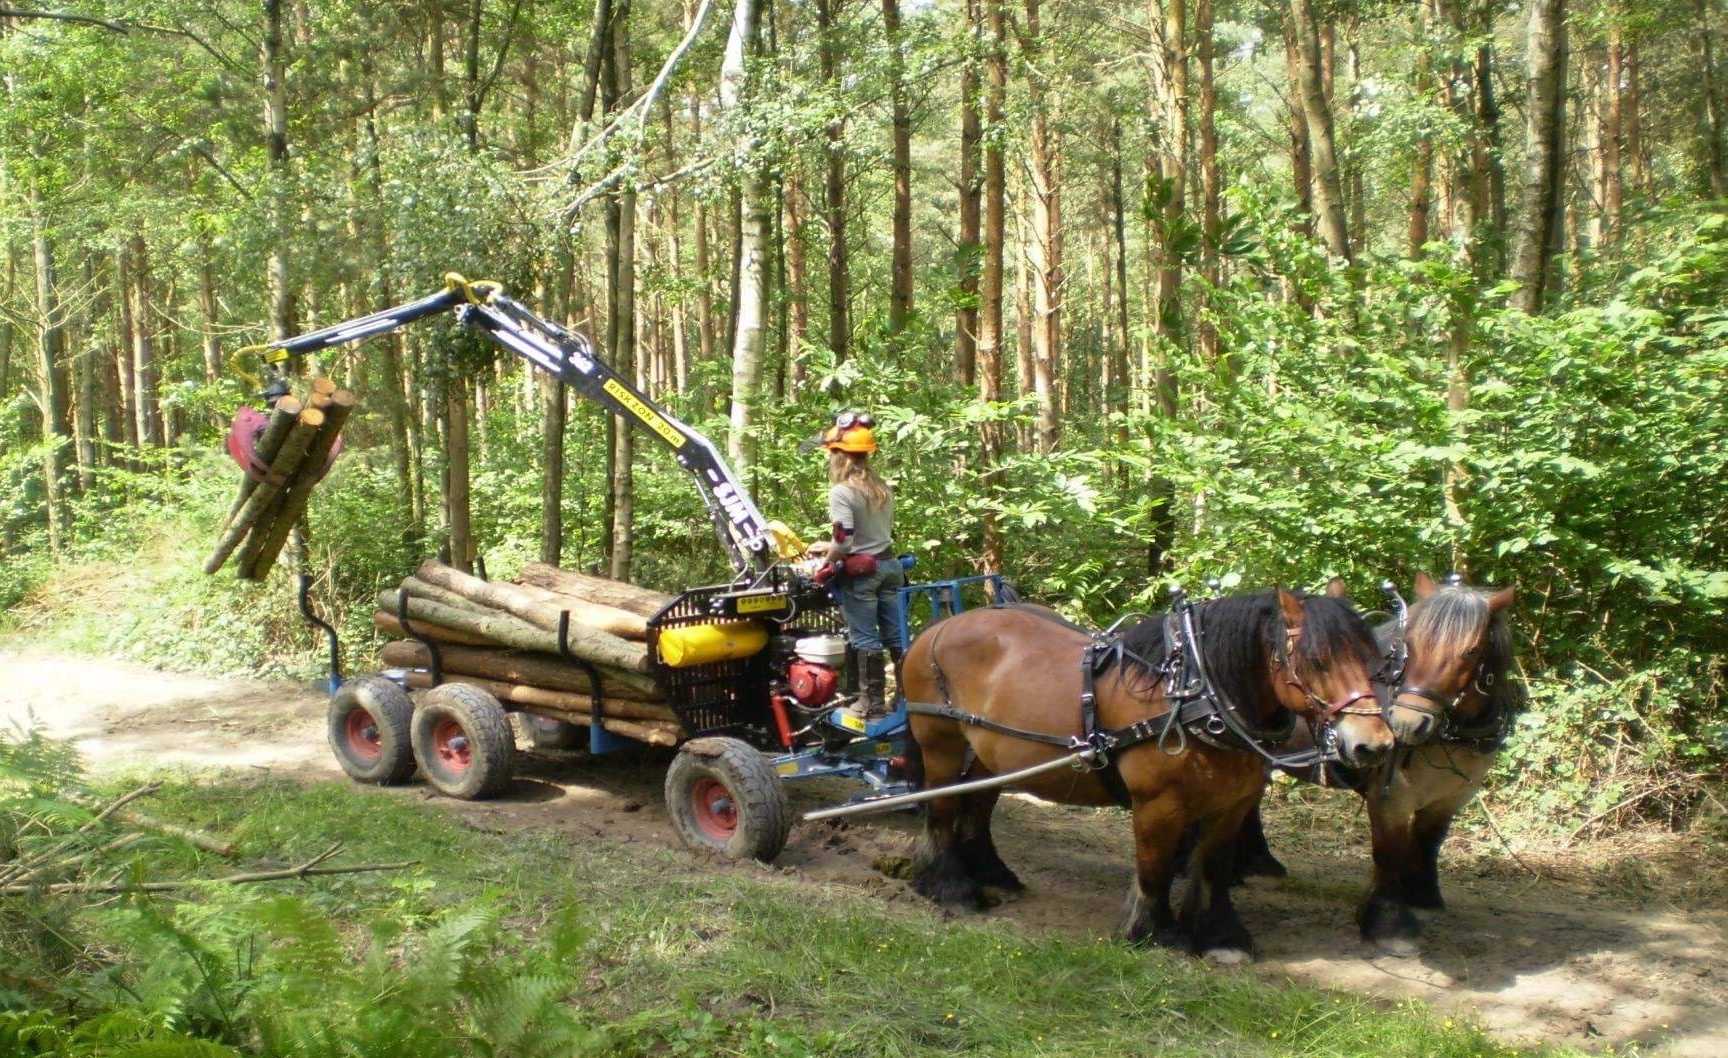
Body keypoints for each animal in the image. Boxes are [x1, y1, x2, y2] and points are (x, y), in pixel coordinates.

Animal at [898, 584, 1396, 961]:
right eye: (1316, 661)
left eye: (1373, 660)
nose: (1373, 743)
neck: (1195, 694)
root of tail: (938, 627)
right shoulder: (1159, 804)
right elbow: (1154, 867)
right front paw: (1155, 933)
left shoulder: (1232, 806)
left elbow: (1213, 868)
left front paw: (1221, 936)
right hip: (941, 745)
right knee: (942, 811)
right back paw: (951, 887)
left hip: (989, 753)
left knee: (978, 808)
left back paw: (991, 873)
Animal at [1223, 573, 1520, 954]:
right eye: (1410, 644)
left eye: (1470, 651)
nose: (1407, 723)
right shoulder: (1390, 797)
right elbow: (1389, 852)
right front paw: (1388, 923)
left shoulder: (1450, 797)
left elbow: (1429, 843)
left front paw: (1423, 898)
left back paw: (1258, 865)